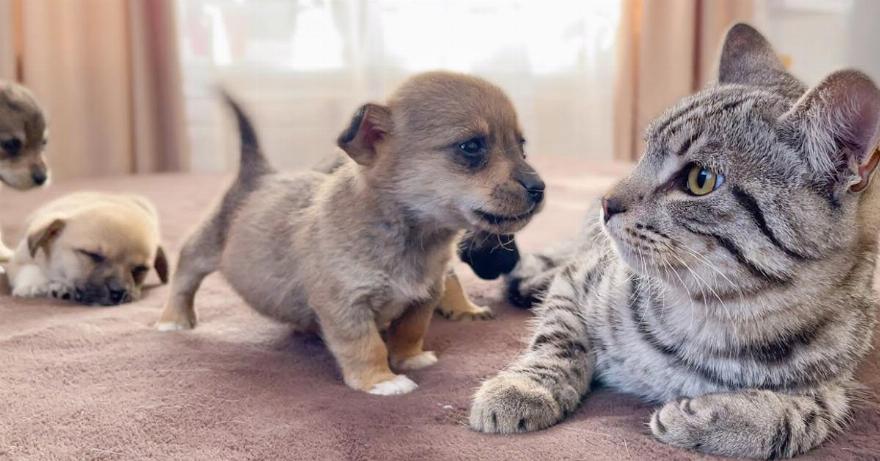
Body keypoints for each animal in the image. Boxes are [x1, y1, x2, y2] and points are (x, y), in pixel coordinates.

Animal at [5, 192, 168, 305]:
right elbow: (28, 269)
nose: (118, 293)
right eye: (93, 254)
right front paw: (33, 286)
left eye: (141, 269)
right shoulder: (20, 257)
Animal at [157, 71, 545, 395]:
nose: (539, 188)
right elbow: (366, 345)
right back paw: (173, 319)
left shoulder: (423, 297)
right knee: (185, 271)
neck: (413, 236)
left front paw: (410, 358)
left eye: (522, 146)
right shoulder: (346, 304)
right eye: (471, 146)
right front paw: (381, 381)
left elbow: (410, 331)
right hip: (206, 247)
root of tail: (259, 175)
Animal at [469, 23, 880, 459]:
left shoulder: (833, 390)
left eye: (700, 179)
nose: (607, 202)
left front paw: (713, 417)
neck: (716, 317)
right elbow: (556, 339)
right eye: (644, 152)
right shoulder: (579, 282)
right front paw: (524, 388)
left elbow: (791, 419)